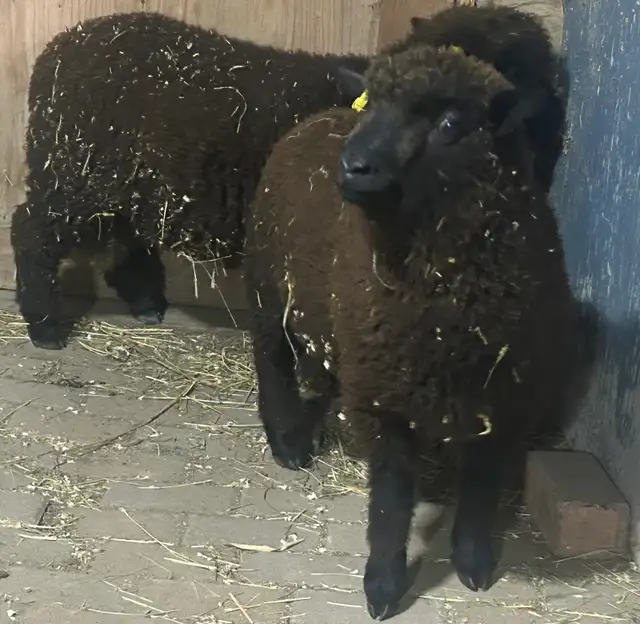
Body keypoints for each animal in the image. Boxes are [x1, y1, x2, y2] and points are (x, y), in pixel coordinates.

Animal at [11, 11, 370, 350]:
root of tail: (60, 46)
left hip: (122, 185)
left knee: (125, 240)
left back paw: (146, 304)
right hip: (69, 177)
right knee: (31, 231)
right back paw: (43, 325)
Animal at [244, 43, 583, 620]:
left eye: (450, 124)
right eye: (373, 104)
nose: (352, 167)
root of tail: (321, 116)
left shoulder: (502, 396)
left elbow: (481, 485)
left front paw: (473, 562)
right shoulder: (384, 401)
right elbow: (391, 498)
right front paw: (382, 585)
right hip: (271, 288)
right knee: (272, 359)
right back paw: (287, 439)